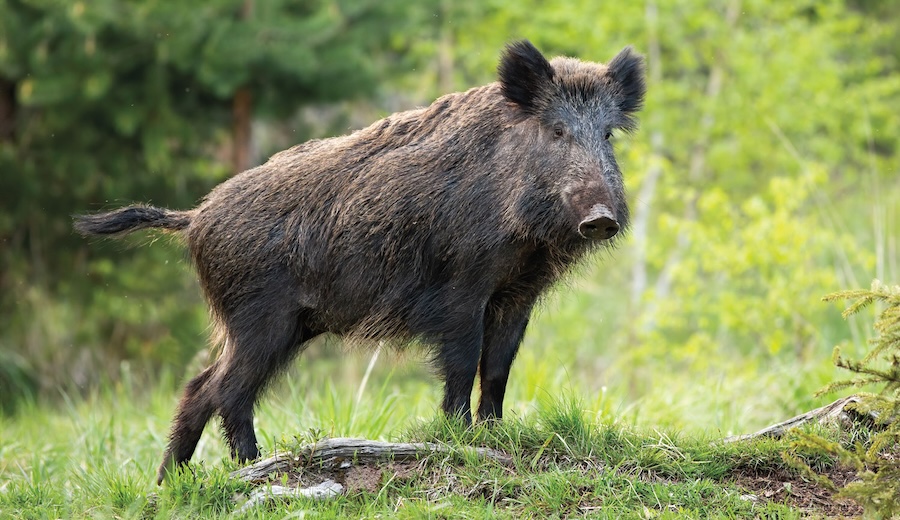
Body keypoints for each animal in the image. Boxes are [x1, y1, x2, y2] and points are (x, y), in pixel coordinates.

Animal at [74, 40, 645, 484]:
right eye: (557, 131)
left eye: (608, 134)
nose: (600, 218)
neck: (523, 237)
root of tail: (194, 217)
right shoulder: (461, 288)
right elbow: (463, 364)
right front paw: (459, 440)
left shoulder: (516, 294)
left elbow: (499, 368)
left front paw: (495, 437)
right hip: (261, 317)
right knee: (225, 389)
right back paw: (252, 466)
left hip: (282, 324)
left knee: (199, 387)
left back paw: (171, 484)